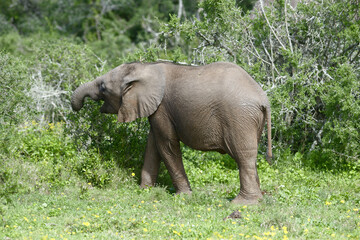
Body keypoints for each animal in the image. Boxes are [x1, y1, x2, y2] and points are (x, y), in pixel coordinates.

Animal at [71, 62, 272, 204]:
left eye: (103, 88)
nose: (77, 107)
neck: (146, 67)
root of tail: (263, 98)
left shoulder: (162, 108)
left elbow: (166, 145)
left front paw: (183, 196)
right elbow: (153, 145)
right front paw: (145, 191)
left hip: (239, 117)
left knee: (243, 156)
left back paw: (242, 203)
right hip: (253, 121)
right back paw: (259, 198)